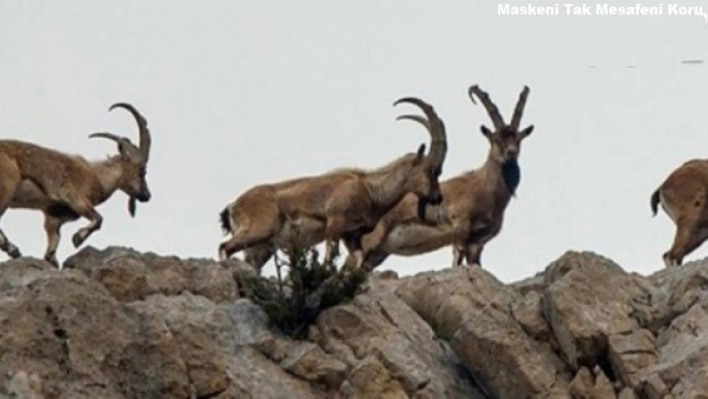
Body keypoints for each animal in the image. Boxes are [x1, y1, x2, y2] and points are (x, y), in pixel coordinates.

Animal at [0, 103, 152, 268]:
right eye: (142, 171)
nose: (146, 196)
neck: (97, 175)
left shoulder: (53, 214)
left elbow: (52, 245)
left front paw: (52, 259)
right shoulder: (75, 198)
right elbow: (99, 219)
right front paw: (77, 238)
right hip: (7, 188)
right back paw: (12, 249)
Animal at [217, 97, 448, 272]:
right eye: (432, 170)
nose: (437, 197)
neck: (370, 190)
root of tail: (234, 206)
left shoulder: (353, 236)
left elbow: (356, 259)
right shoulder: (335, 223)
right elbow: (330, 258)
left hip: (262, 247)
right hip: (260, 228)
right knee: (224, 247)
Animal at [346, 84, 532, 272]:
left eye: (518, 140)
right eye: (496, 139)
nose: (511, 153)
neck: (484, 189)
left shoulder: (477, 242)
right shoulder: (459, 228)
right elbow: (456, 261)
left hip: (379, 253)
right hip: (370, 241)